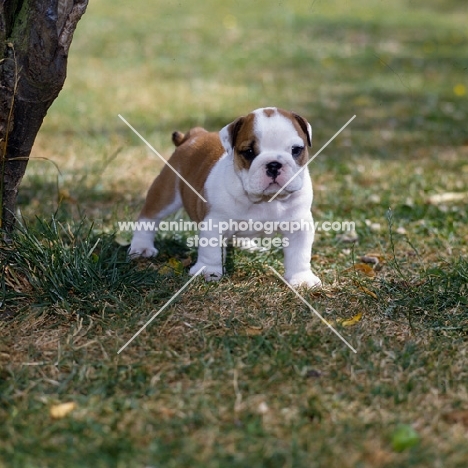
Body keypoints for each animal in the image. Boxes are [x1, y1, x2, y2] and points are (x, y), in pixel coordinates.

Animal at [130, 107, 324, 288]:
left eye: (296, 150)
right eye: (249, 152)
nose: (274, 165)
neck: (264, 199)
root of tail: (195, 135)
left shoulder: (299, 225)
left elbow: (299, 254)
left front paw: (302, 279)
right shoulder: (214, 222)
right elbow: (211, 251)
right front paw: (208, 271)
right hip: (166, 192)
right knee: (149, 216)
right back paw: (141, 247)